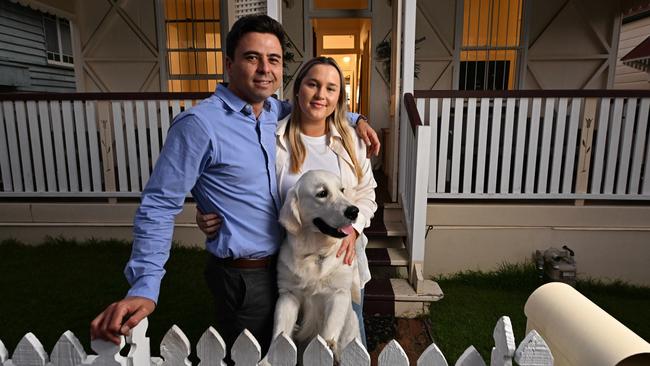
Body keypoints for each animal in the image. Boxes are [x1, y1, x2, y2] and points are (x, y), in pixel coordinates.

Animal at [272, 170, 360, 358]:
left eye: (342, 190)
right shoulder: (288, 295)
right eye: (322, 193)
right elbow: (280, 331)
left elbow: (328, 330)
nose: (354, 211)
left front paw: (327, 348)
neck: (315, 253)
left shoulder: (338, 293)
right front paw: (267, 359)